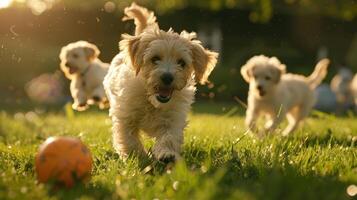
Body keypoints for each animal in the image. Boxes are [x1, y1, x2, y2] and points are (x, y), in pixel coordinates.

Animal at [103, 3, 217, 162]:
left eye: (181, 63)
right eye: (155, 59)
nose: (167, 77)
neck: (151, 101)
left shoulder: (173, 118)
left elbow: (169, 137)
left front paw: (166, 154)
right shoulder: (125, 115)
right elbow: (129, 139)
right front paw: (138, 157)